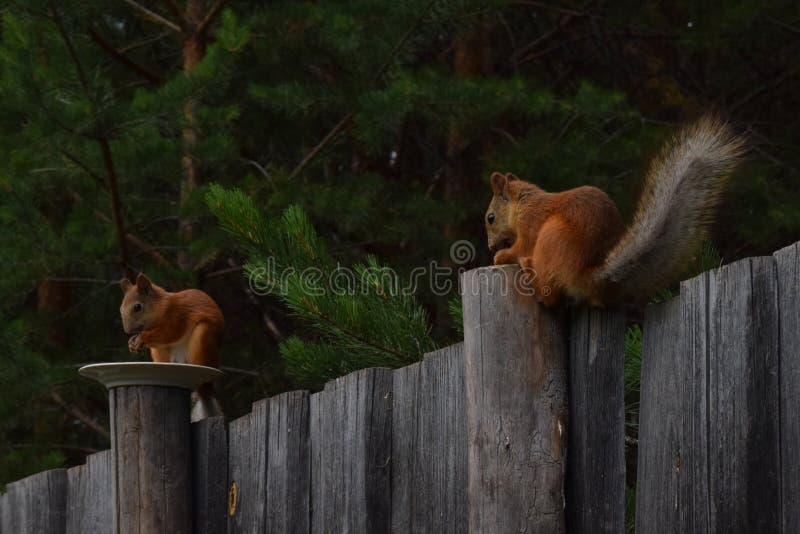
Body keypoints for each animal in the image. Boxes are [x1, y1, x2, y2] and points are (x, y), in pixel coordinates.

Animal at [120, 273, 225, 421]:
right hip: (159, 352)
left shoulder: (177, 317)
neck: (163, 308)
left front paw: (142, 338)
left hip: (203, 336)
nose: (127, 331)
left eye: (137, 307)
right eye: (121, 308)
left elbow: (169, 332)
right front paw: (131, 342)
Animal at [485, 115, 746, 307]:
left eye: (491, 218)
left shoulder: (531, 223)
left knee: (549, 295)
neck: (524, 202)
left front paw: (501, 256)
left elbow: (522, 246)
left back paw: (531, 272)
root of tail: (590, 278)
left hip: (552, 237)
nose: (490, 247)